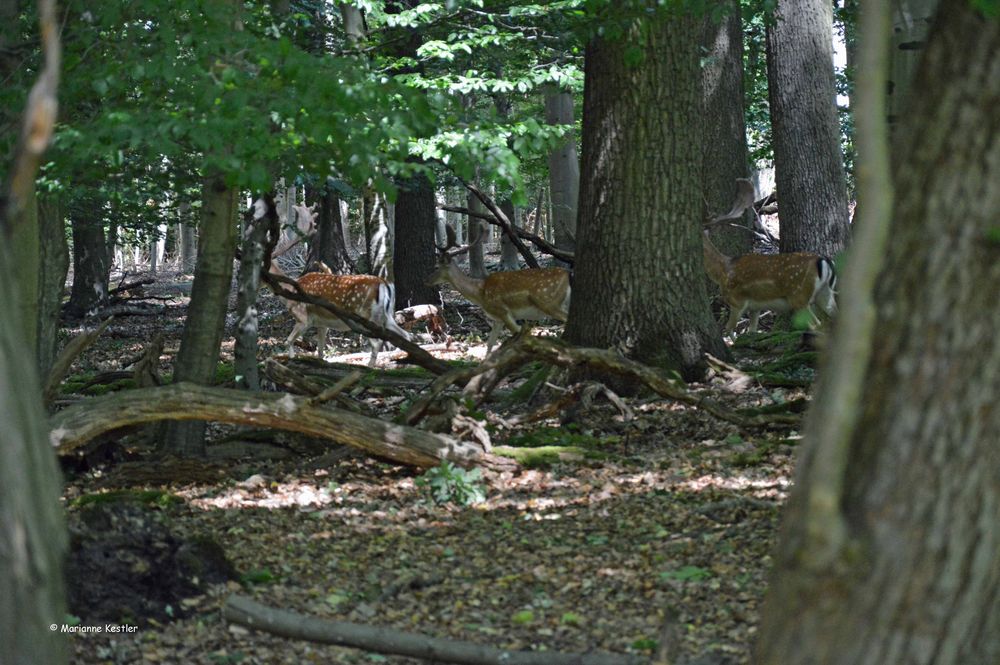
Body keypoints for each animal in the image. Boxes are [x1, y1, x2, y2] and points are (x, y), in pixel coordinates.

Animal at [426, 226, 572, 352]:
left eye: (436, 266)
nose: (426, 280)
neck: (481, 293)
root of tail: (567, 275)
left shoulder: (503, 311)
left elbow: (518, 335)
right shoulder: (497, 319)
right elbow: (490, 344)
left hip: (548, 301)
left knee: (565, 318)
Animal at [704, 179, 836, 340]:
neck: (722, 272)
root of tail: (824, 262)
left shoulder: (737, 301)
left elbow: (729, 330)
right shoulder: (755, 308)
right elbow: (751, 331)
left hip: (799, 296)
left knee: (817, 324)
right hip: (825, 294)